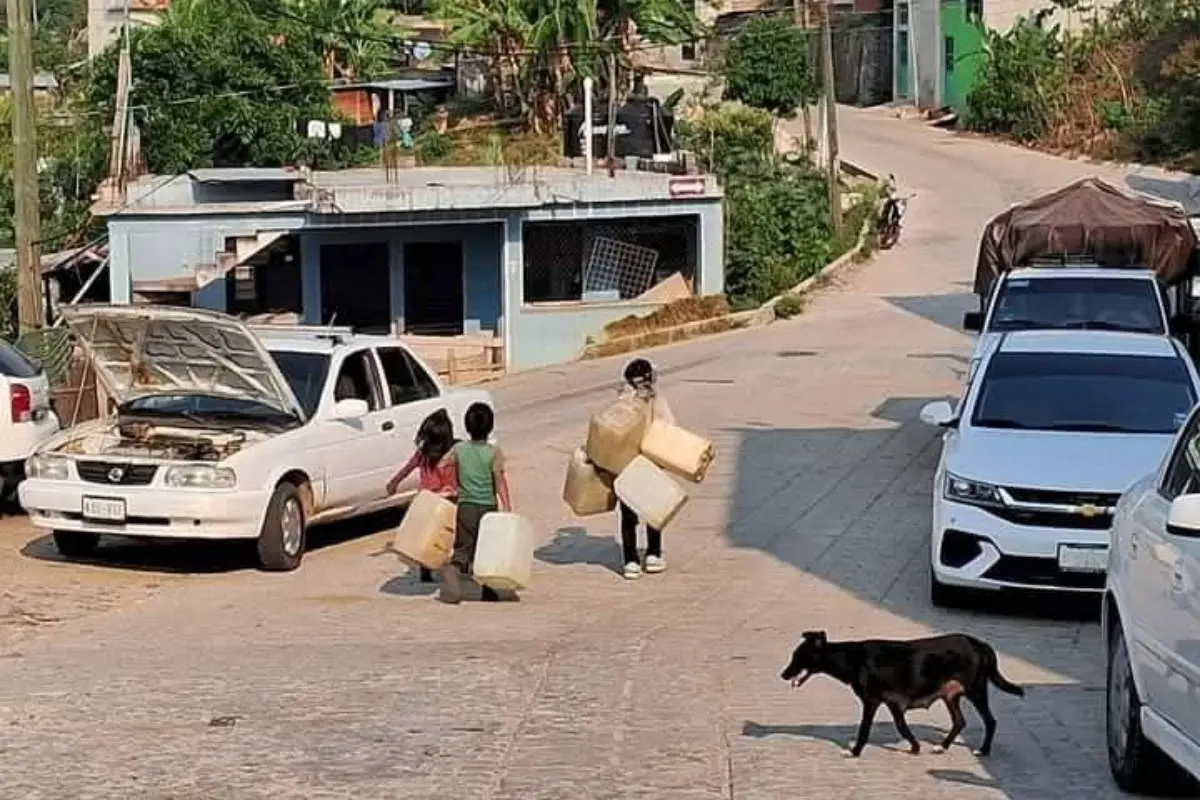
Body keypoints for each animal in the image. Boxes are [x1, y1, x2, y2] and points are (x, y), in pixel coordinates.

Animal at [782, 633, 1027, 758]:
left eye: (797, 656)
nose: (783, 674)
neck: (853, 658)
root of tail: (978, 643)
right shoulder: (893, 703)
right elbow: (902, 726)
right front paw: (915, 747)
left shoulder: (871, 702)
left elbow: (864, 730)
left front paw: (855, 751)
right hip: (950, 695)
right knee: (959, 722)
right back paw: (942, 746)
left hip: (975, 690)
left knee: (990, 721)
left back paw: (983, 750)